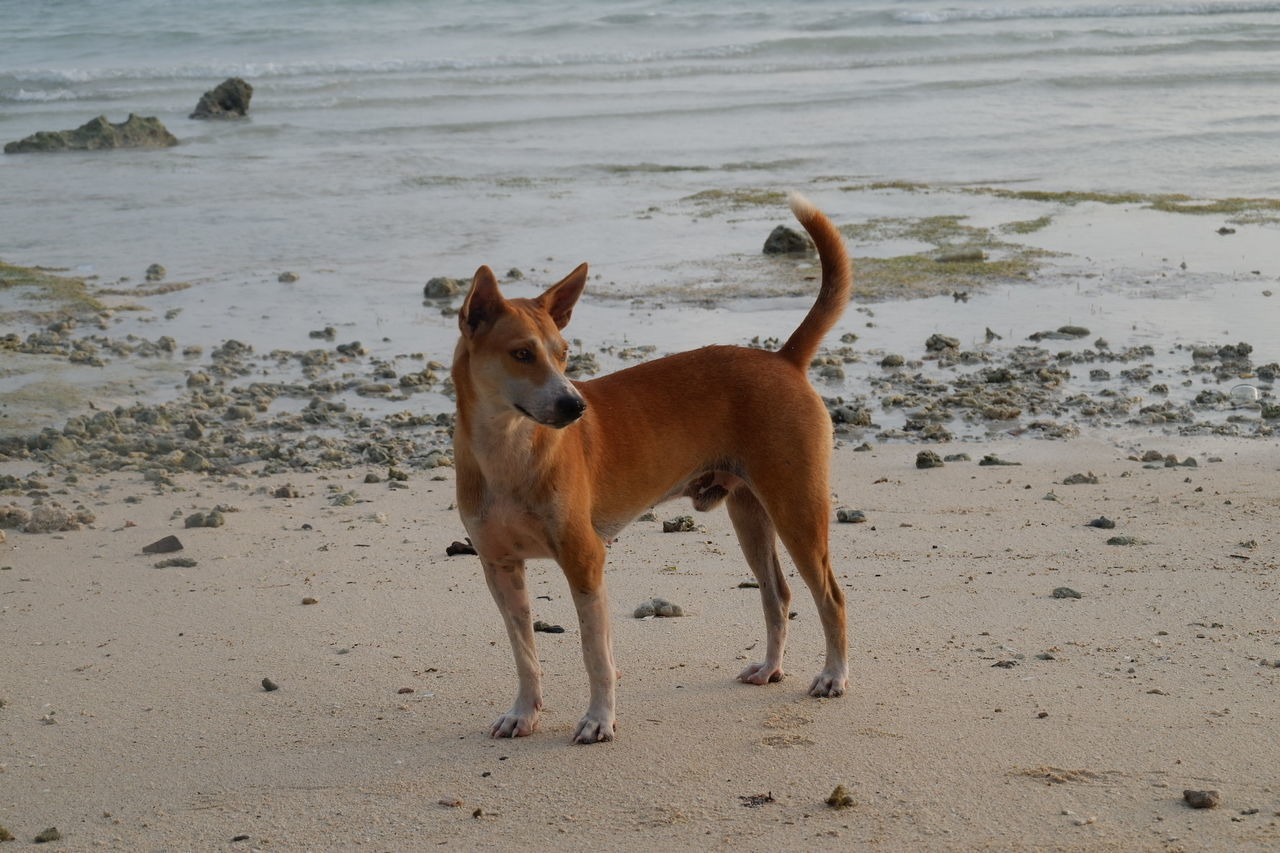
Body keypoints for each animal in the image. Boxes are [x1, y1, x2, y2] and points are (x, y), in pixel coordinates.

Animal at [450, 192, 849, 737]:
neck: (509, 451)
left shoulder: (585, 560)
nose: (576, 407)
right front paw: (523, 713)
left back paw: (834, 675)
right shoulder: (499, 567)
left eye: (563, 353)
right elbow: (524, 654)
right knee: (778, 596)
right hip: (749, 513)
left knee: (830, 597)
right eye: (521, 354)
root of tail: (783, 359)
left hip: (797, 509)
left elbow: (595, 655)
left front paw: (599, 721)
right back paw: (770, 668)